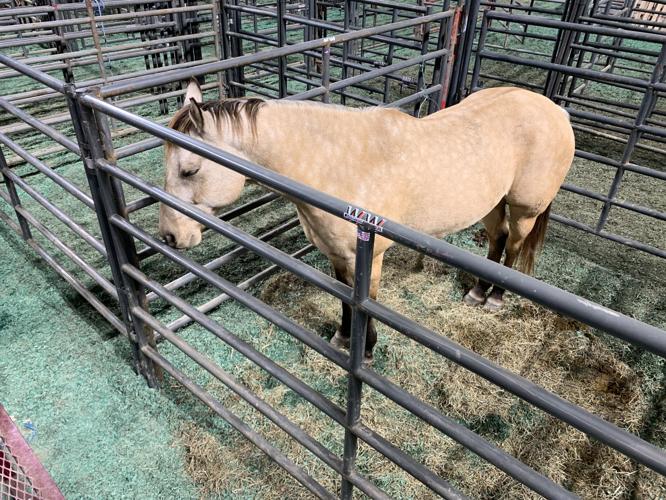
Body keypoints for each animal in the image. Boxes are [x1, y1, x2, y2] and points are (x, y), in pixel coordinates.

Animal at [159, 80, 575, 362]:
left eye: (190, 169)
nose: (170, 237)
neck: (337, 164)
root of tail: (556, 111)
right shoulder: (338, 255)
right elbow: (345, 299)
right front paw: (343, 339)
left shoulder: (369, 256)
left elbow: (365, 302)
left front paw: (366, 350)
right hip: (491, 203)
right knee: (497, 239)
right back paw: (477, 291)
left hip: (525, 208)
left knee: (514, 245)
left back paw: (496, 298)